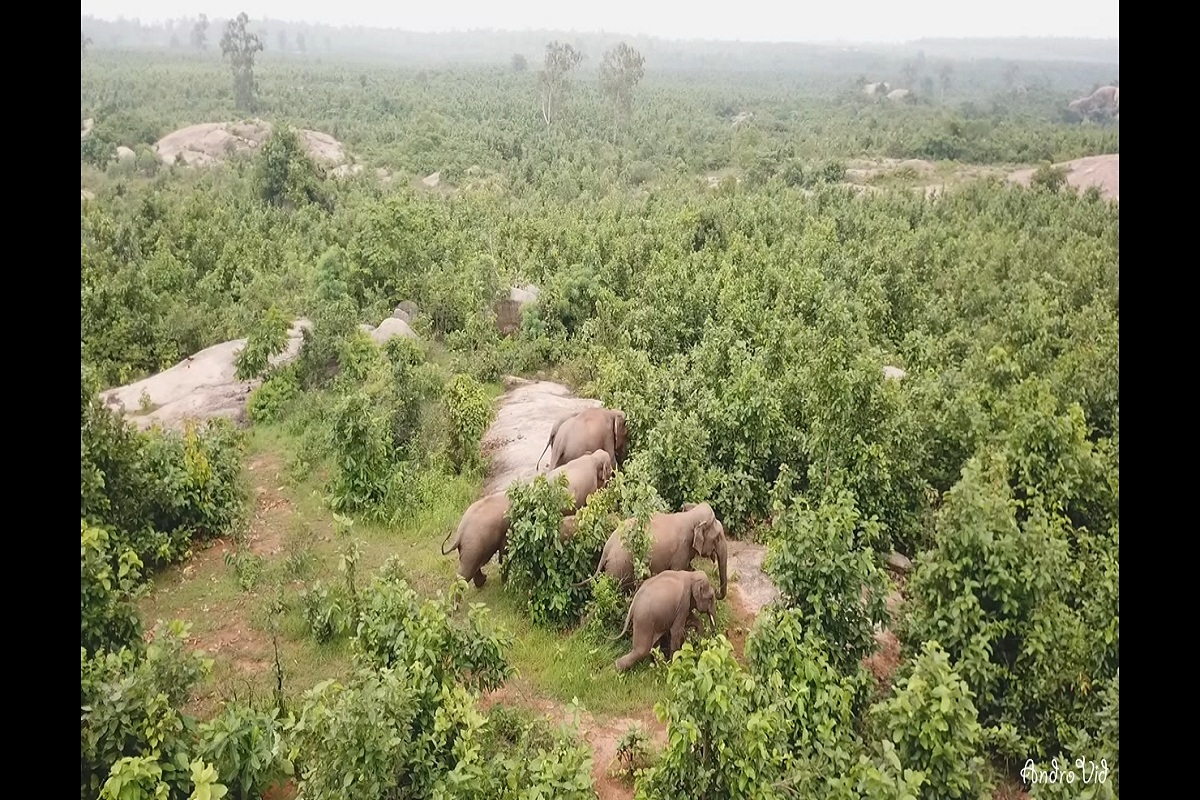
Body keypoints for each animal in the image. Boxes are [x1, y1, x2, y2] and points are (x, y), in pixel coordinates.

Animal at [580, 501, 728, 600]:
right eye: (717, 537)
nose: (717, 591)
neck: (691, 516)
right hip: (619, 566)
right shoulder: (681, 550)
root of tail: (606, 548)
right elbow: (679, 571)